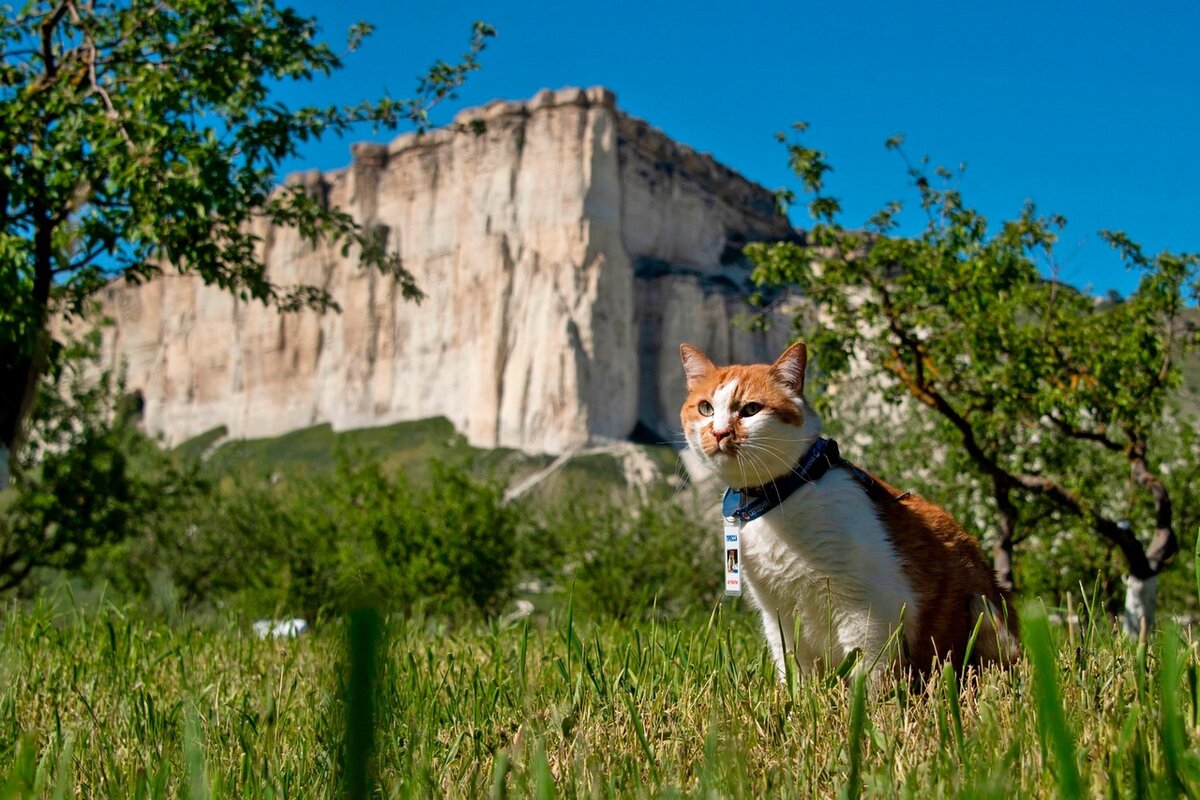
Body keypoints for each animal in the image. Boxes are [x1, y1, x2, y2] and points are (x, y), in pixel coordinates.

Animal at [681, 340, 1017, 681]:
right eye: (706, 408)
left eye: (750, 409)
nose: (719, 432)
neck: (780, 497)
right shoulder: (777, 615)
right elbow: (793, 672)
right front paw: (792, 697)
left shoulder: (868, 612)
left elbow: (867, 676)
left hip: (984, 613)